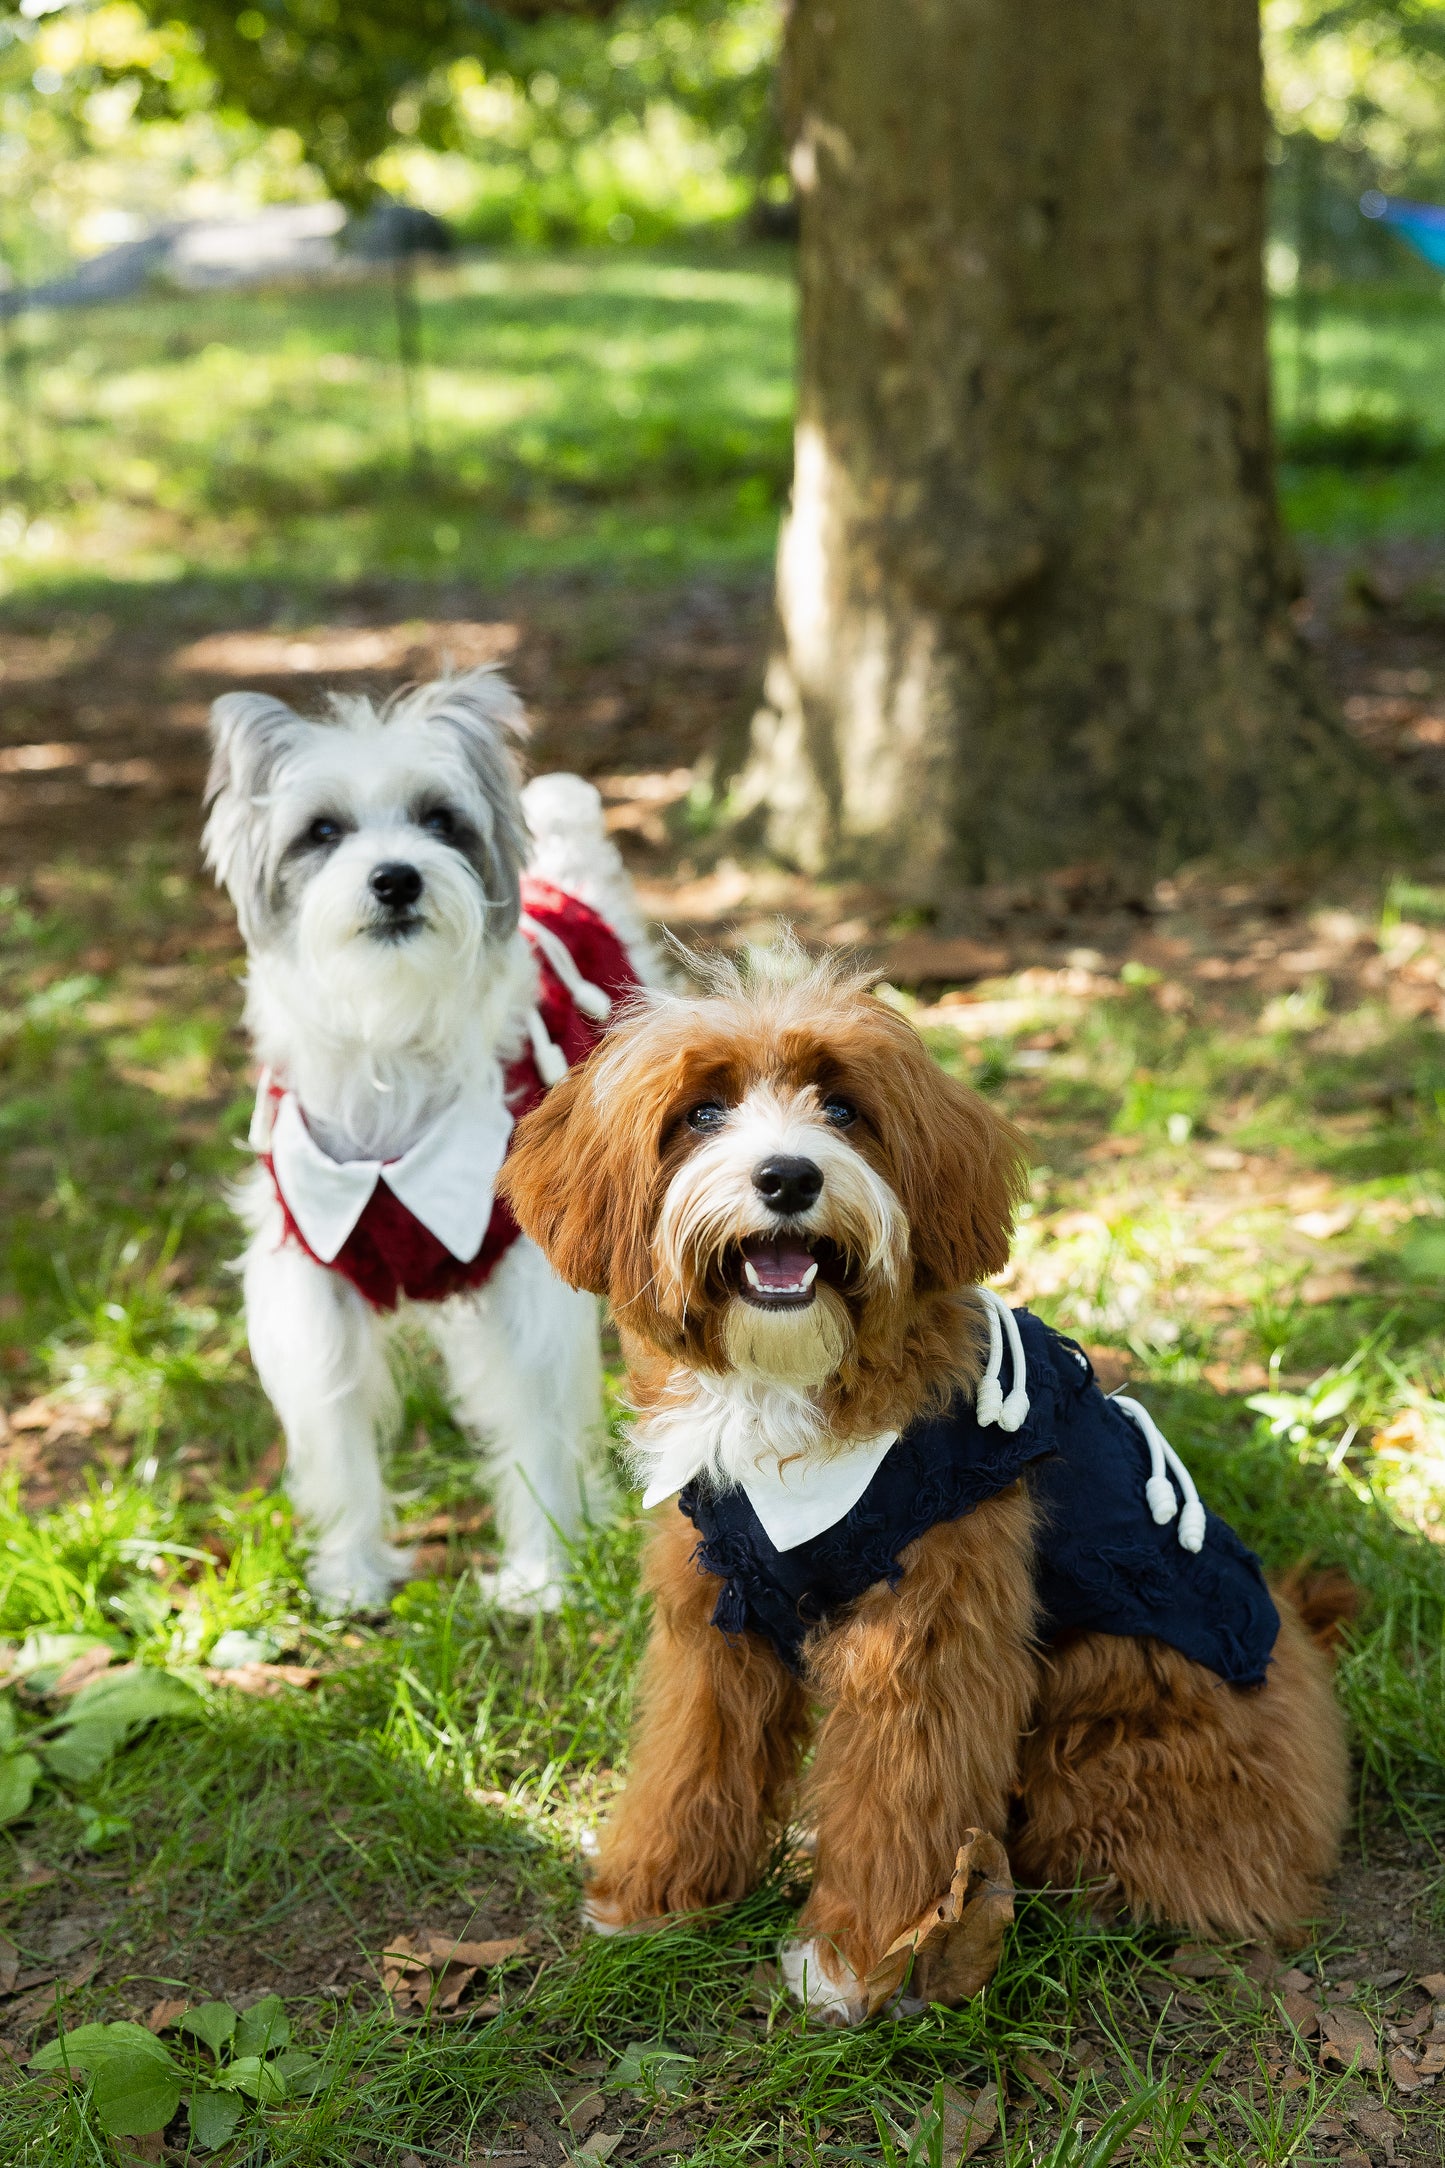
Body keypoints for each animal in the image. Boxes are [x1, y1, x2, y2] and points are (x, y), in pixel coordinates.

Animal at [200, 667, 654, 1621]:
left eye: (440, 819)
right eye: (322, 831)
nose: (396, 878)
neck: (392, 1048)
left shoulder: (525, 1291)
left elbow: (535, 1424)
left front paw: (541, 1575)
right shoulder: (313, 1287)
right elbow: (336, 1436)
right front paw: (353, 1574)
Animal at [502, 958, 1351, 2020]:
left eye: (841, 1108)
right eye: (700, 1113)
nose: (788, 1177)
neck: (791, 1391)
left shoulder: (925, 1631)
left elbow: (900, 1791)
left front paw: (858, 1961)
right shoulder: (713, 1608)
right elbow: (690, 1754)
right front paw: (655, 1892)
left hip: (1115, 1731)